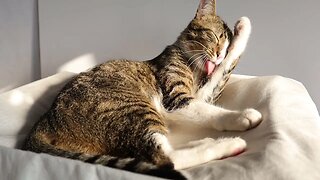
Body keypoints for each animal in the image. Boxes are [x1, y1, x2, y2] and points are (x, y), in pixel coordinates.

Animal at [22, 0, 262, 179]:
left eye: (226, 43)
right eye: (214, 36)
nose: (219, 53)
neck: (194, 65)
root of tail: (44, 121)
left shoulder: (202, 94)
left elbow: (223, 70)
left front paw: (242, 31)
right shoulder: (176, 98)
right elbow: (211, 109)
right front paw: (243, 116)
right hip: (131, 108)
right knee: (166, 159)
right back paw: (225, 144)